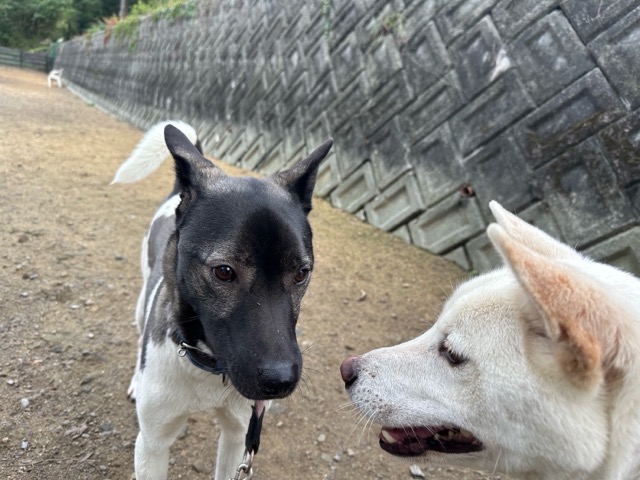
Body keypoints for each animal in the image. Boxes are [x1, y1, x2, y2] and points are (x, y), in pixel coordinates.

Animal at [112, 121, 333, 479]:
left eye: (301, 273)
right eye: (224, 272)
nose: (281, 381)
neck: (207, 365)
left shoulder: (238, 435)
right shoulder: (152, 445)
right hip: (141, 305)